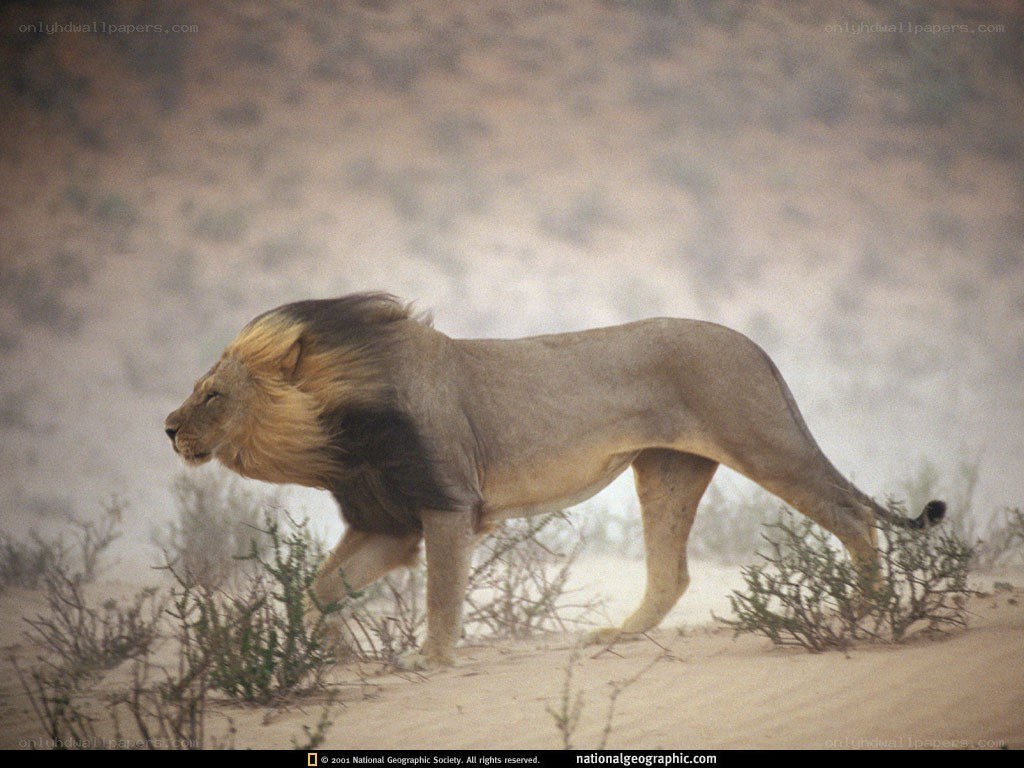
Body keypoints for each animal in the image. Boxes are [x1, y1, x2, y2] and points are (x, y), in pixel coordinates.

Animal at [164, 292, 945, 669]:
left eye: (213, 396)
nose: (167, 427)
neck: (336, 432)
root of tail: (753, 345)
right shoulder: (388, 524)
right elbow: (322, 588)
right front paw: (333, 654)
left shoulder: (447, 507)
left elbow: (442, 596)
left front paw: (428, 660)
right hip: (667, 468)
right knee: (673, 574)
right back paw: (617, 637)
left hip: (764, 442)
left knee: (853, 516)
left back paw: (860, 612)